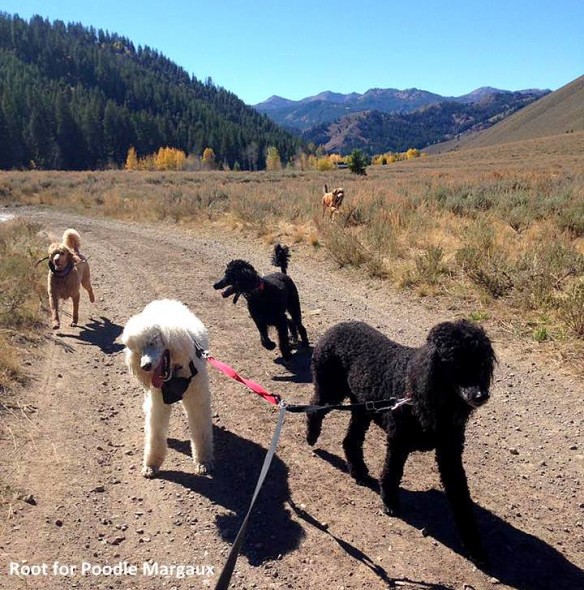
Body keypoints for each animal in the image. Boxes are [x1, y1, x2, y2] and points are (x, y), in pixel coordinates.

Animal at [308, 320, 496, 564]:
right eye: (456, 362)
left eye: (481, 363)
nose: (481, 395)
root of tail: (336, 326)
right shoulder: (398, 442)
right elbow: (392, 473)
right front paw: (389, 501)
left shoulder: (450, 454)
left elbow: (460, 496)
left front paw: (474, 545)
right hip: (331, 389)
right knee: (314, 409)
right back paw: (311, 436)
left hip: (362, 407)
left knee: (351, 440)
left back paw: (358, 471)